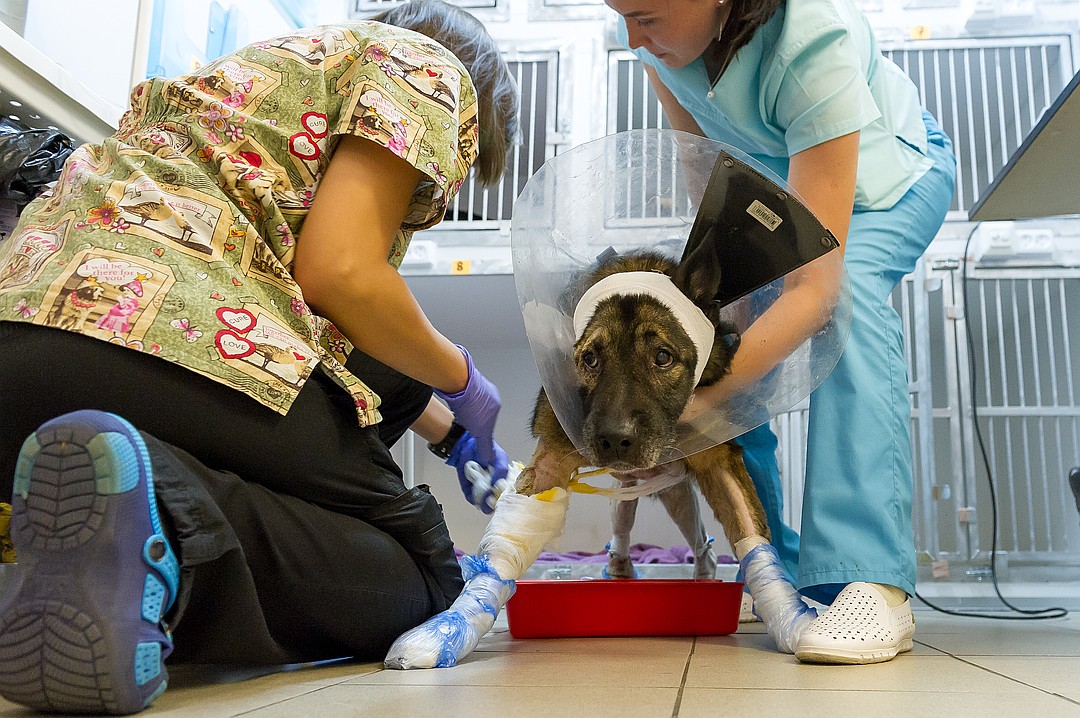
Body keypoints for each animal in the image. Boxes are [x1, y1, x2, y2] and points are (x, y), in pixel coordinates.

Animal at [518, 245, 773, 578]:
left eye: (662, 357)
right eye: (590, 359)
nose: (615, 441)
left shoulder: (718, 460)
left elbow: (749, 530)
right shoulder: (551, 457)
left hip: (676, 492)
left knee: (699, 540)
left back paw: (703, 568)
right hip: (632, 488)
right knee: (624, 520)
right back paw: (620, 564)